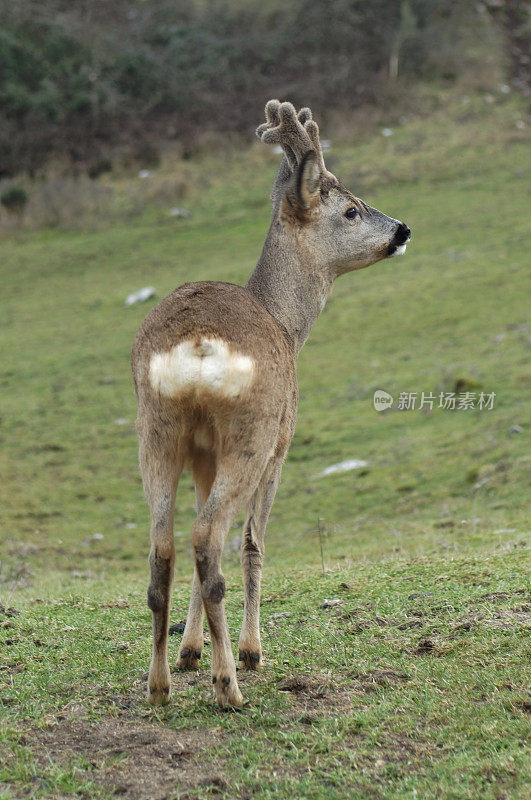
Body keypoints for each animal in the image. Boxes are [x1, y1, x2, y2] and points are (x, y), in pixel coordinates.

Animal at [132, 100, 412, 708]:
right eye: (351, 210)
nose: (404, 229)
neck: (287, 322)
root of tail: (198, 345)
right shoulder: (283, 440)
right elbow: (254, 544)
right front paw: (248, 651)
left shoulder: (203, 455)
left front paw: (189, 652)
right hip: (252, 433)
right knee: (211, 540)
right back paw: (230, 685)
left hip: (157, 432)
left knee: (168, 546)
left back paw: (161, 684)